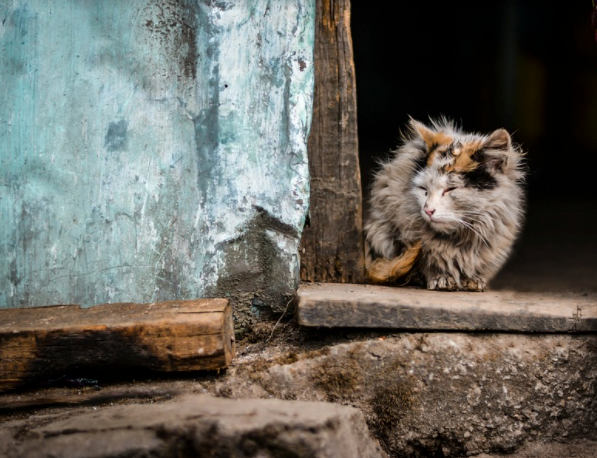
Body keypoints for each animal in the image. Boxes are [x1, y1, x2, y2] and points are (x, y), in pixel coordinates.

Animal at [366, 118, 524, 290]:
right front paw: (441, 278)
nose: (428, 210)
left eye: (450, 189)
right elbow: (425, 262)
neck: (458, 239)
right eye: (424, 189)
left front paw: (473, 280)